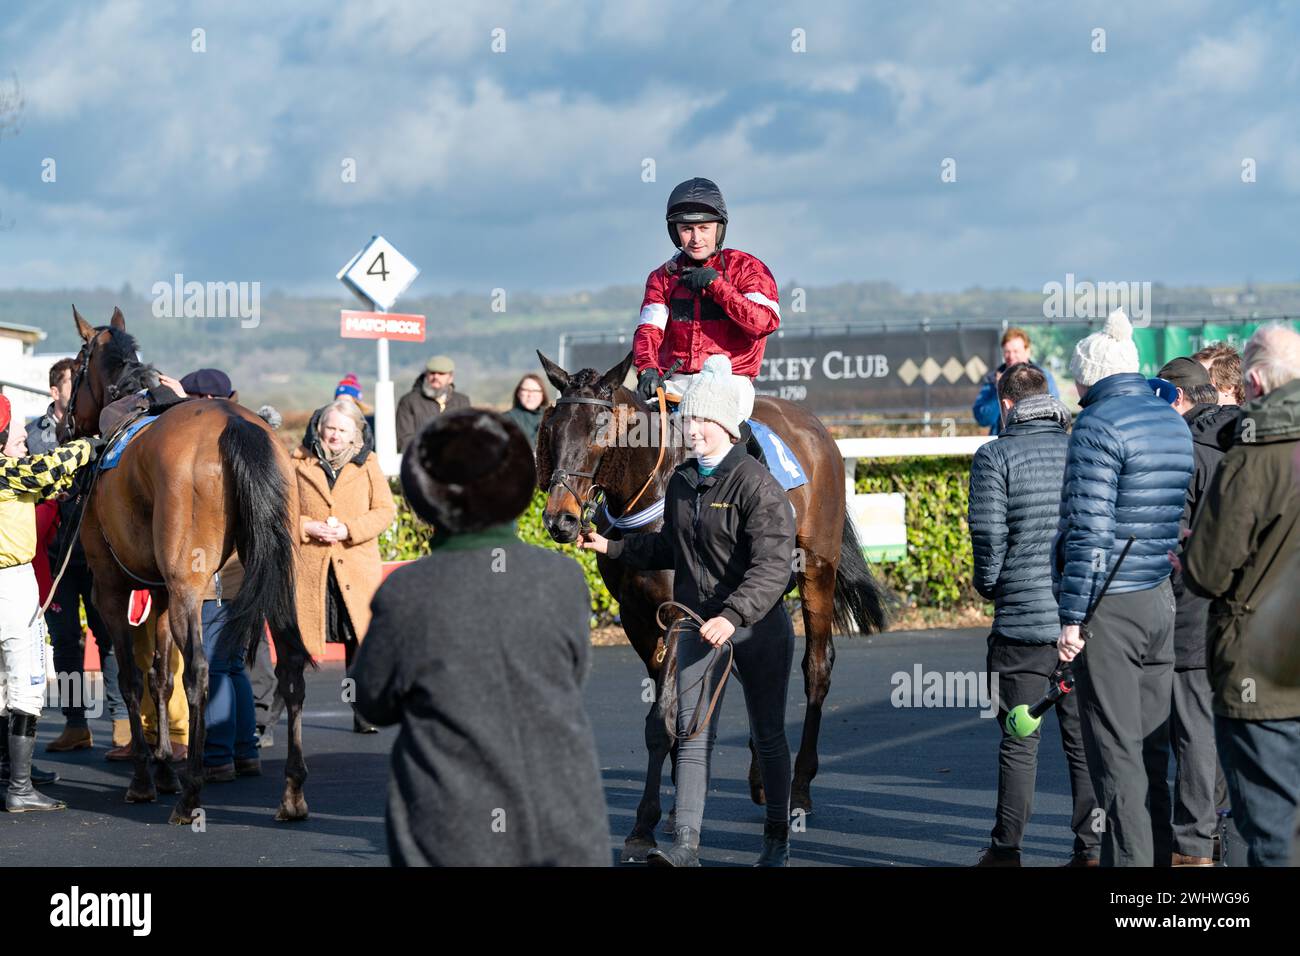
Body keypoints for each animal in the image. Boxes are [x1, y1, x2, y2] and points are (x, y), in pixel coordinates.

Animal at [62, 310, 312, 827]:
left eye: (74, 368)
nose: (64, 424)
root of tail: (236, 425)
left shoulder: (112, 590)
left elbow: (133, 679)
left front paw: (145, 778)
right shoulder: (156, 592)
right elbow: (159, 677)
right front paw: (162, 769)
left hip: (188, 588)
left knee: (199, 672)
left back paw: (192, 792)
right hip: (276, 580)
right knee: (292, 665)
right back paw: (292, 792)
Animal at [533, 348, 889, 858]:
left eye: (602, 425)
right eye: (554, 427)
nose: (559, 519)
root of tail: (817, 430)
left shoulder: (676, 613)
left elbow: (661, 720)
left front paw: (643, 823)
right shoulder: (638, 618)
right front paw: (673, 806)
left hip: (817, 570)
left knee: (817, 669)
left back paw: (799, 788)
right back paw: (762, 776)